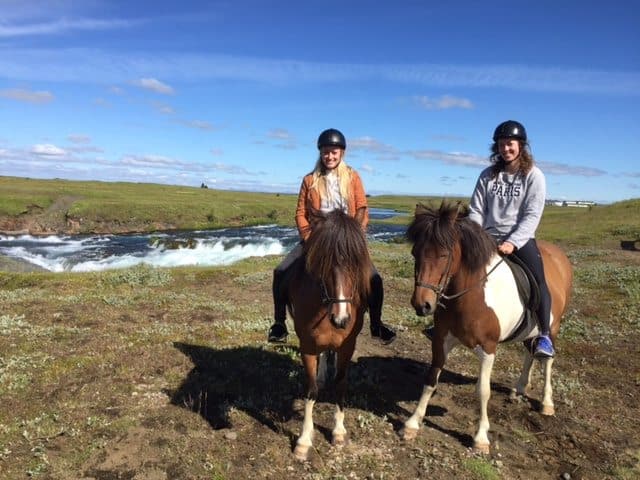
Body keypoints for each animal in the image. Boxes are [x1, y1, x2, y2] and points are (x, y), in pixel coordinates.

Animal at [286, 208, 372, 460]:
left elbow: (341, 384)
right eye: (323, 263)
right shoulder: (307, 345)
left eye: (357, 263)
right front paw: (304, 440)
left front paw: (339, 431)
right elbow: (311, 389)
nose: (341, 320)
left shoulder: (347, 346)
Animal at [402, 202, 572, 454]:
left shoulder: (488, 348)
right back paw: (519, 388)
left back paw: (547, 403)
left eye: (444, 255)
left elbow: (483, 391)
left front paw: (481, 437)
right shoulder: (441, 340)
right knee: (529, 353)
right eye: (415, 253)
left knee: (547, 360)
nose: (422, 304)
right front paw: (413, 423)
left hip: (553, 327)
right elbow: (431, 380)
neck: (470, 295)